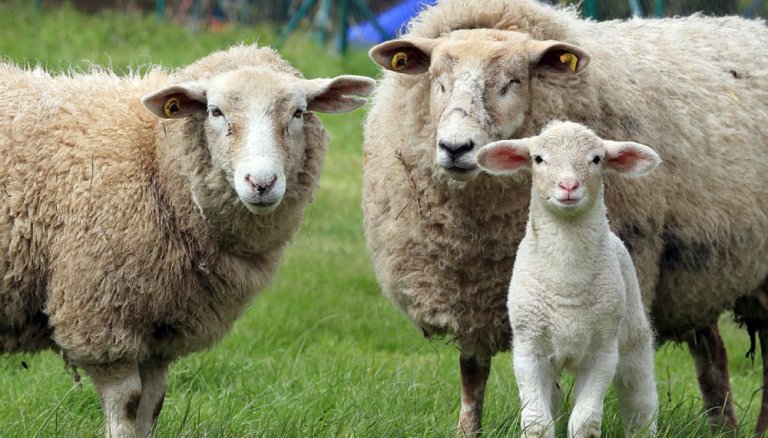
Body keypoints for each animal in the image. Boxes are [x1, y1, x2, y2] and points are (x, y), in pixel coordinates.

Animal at [0, 44, 374, 438]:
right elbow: (126, 404)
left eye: (299, 112)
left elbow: (151, 406)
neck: (153, 157)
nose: (261, 183)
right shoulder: (101, 318)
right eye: (215, 111)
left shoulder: (160, 333)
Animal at [476, 121, 659, 437]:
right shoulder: (528, 350)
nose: (569, 186)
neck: (567, 281)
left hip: (632, 336)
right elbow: (537, 422)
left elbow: (585, 421)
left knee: (640, 400)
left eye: (596, 159)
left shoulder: (603, 351)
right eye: (538, 159)